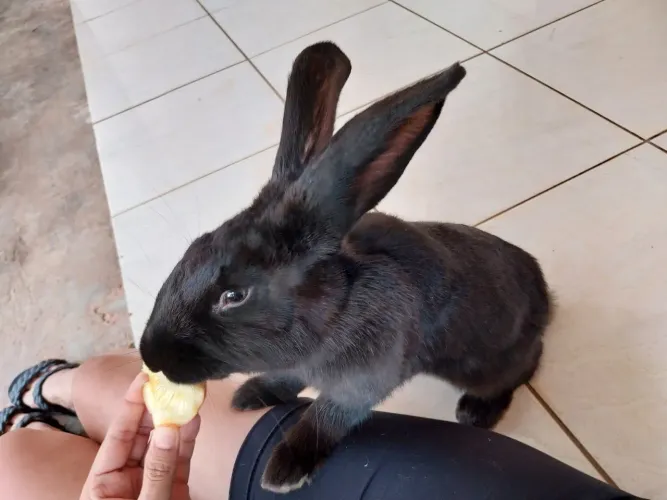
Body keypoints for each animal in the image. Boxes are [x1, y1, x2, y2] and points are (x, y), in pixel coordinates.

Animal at [139, 41, 552, 493]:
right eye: (194, 248)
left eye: (234, 295)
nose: (150, 355)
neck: (335, 311)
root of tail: (544, 293)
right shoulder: (296, 369)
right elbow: (285, 382)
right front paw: (249, 395)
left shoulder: (361, 383)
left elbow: (324, 418)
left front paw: (284, 469)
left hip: (485, 361)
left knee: (523, 367)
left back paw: (477, 412)